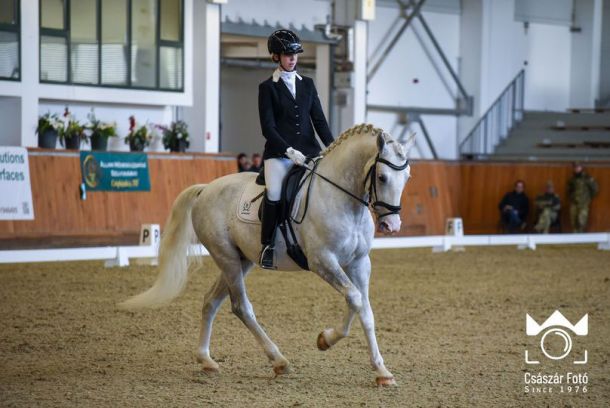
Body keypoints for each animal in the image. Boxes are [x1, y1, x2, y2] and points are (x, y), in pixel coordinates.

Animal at [119, 123, 414, 386]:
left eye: (407, 177)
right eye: (382, 177)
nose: (392, 225)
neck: (341, 199)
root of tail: (206, 188)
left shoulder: (360, 263)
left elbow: (364, 308)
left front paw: (381, 371)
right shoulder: (323, 261)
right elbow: (354, 298)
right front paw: (326, 340)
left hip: (242, 260)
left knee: (211, 301)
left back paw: (206, 360)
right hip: (226, 257)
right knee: (241, 307)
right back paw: (279, 361)